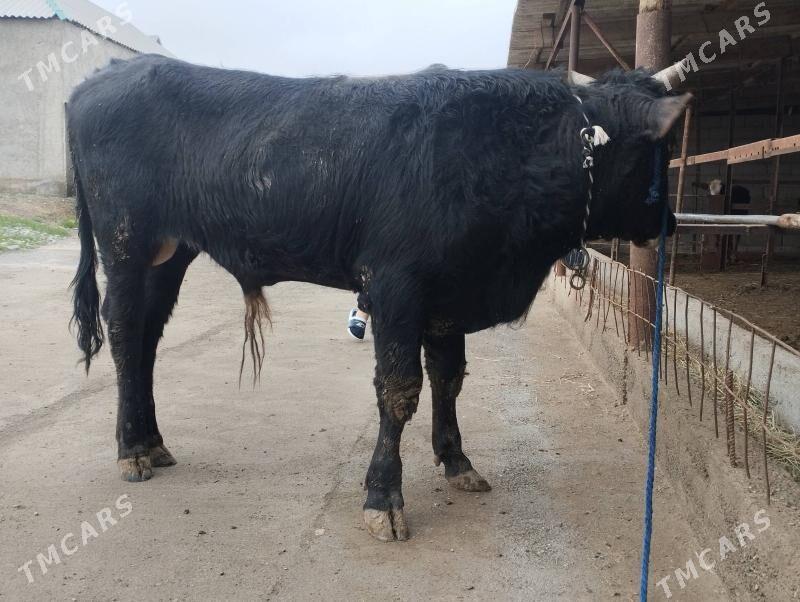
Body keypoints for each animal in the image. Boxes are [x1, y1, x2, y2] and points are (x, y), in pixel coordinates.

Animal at [68, 55, 689, 542]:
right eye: (660, 152)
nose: (673, 221)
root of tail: (103, 77)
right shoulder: (395, 286)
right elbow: (400, 390)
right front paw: (382, 498)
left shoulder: (449, 295)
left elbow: (449, 378)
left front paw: (457, 461)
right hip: (124, 243)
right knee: (123, 333)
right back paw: (132, 451)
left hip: (169, 254)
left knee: (146, 341)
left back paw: (151, 440)